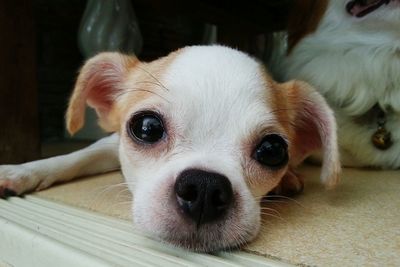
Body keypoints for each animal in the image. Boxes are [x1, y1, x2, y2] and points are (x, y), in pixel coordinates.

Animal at [0, 46, 340, 253]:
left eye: (272, 150)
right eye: (147, 127)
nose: (204, 188)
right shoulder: (109, 144)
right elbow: (75, 157)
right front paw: (21, 171)